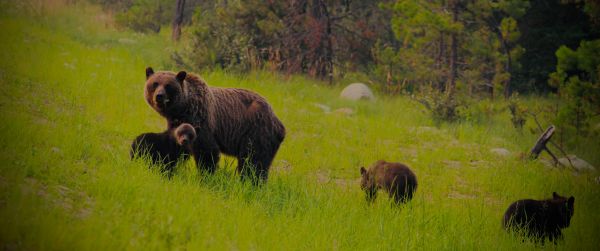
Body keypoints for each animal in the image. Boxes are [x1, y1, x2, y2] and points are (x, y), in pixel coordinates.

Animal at [144, 67, 288, 183]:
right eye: (154, 84)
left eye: (168, 85)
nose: (159, 96)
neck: (183, 109)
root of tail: (279, 123)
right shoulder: (178, 126)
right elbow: (175, 147)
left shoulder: (201, 120)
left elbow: (207, 151)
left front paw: (205, 177)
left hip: (256, 132)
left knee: (253, 162)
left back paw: (250, 183)